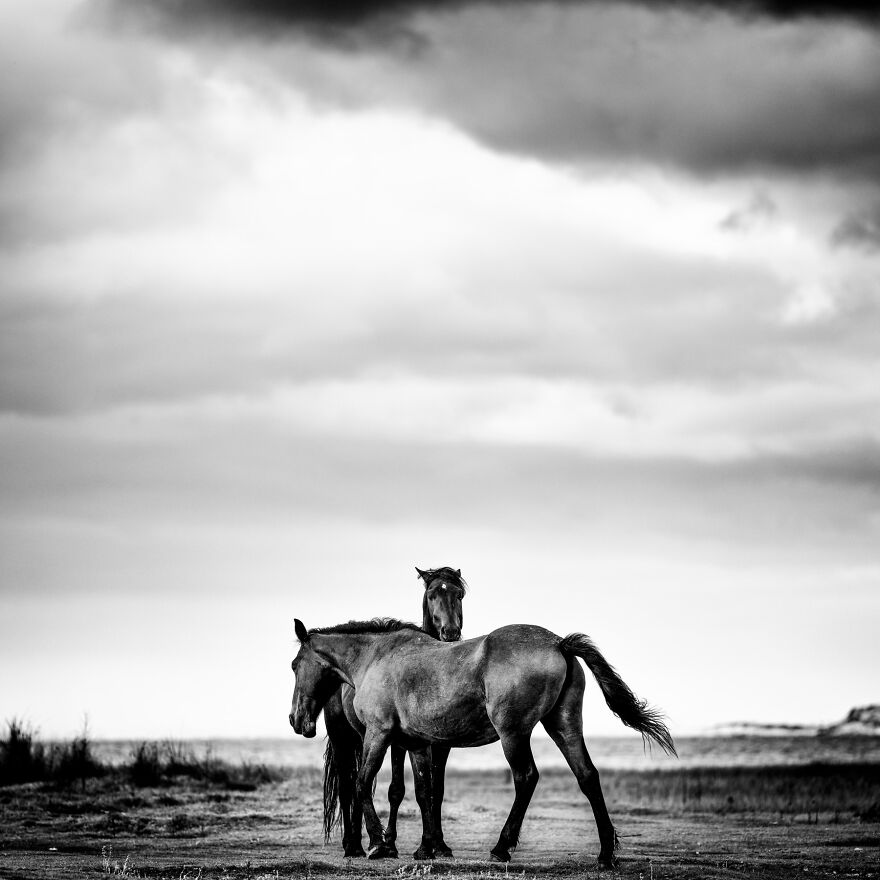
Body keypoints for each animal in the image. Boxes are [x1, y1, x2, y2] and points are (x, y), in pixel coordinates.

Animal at [290, 619, 675, 867]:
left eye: (295, 665)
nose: (296, 720)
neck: (375, 658)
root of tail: (558, 643)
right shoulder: (415, 744)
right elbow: (425, 792)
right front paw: (426, 848)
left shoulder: (378, 734)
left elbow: (362, 783)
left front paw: (379, 844)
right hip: (564, 727)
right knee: (588, 777)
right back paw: (606, 855)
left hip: (513, 734)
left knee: (526, 778)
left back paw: (502, 847)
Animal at [320, 567, 466, 859]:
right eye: (431, 594)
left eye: (459, 594)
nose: (450, 631)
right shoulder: (400, 744)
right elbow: (397, 790)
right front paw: (391, 842)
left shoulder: (440, 746)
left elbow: (435, 790)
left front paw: (439, 845)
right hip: (342, 737)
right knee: (347, 786)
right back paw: (352, 844)